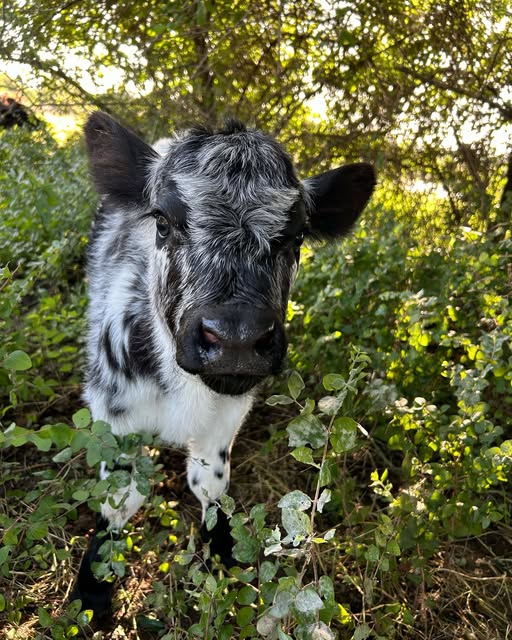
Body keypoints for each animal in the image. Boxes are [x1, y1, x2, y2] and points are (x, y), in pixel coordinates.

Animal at [70, 112, 375, 618]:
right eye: (163, 222)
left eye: (296, 236)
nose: (236, 338)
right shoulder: (112, 412)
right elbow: (120, 498)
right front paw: (90, 591)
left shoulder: (229, 414)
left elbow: (209, 484)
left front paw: (223, 552)